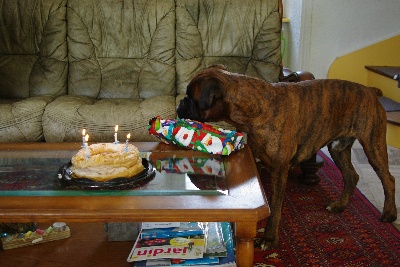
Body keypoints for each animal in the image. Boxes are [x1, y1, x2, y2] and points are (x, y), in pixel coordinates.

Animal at [177, 64, 396, 251]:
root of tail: (371, 91)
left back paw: (389, 213)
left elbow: (275, 205)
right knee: (352, 176)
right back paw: (340, 205)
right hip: (338, 149)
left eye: (190, 97)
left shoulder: (279, 170)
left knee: (388, 179)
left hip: (373, 147)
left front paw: (269, 237)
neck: (256, 107)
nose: (180, 104)